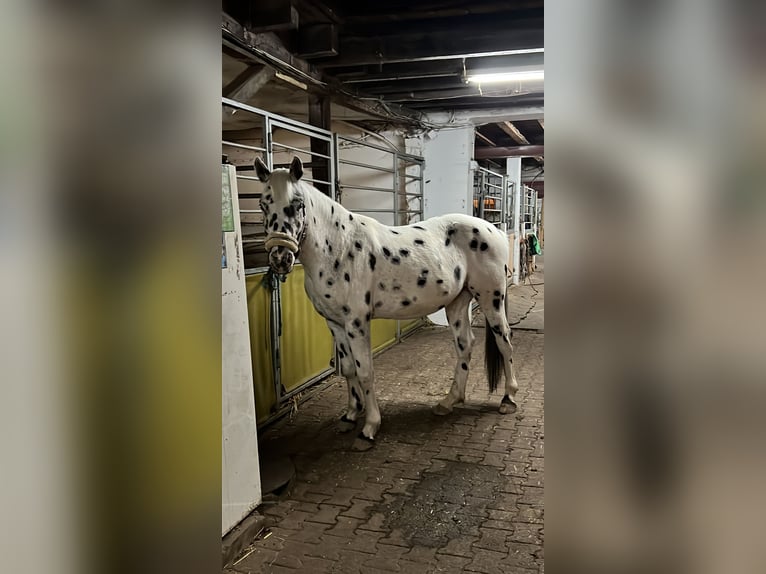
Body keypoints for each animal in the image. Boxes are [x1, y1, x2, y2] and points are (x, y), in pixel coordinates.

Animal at [258, 159, 520, 454]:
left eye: (298, 203)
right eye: (263, 204)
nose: (281, 258)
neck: (338, 248)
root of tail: (495, 230)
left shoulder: (357, 323)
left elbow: (365, 372)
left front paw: (369, 429)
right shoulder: (335, 324)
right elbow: (348, 369)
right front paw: (349, 416)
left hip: (490, 299)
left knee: (504, 342)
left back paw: (508, 400)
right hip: (457, 301)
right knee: (465, 345)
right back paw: (448, 402)